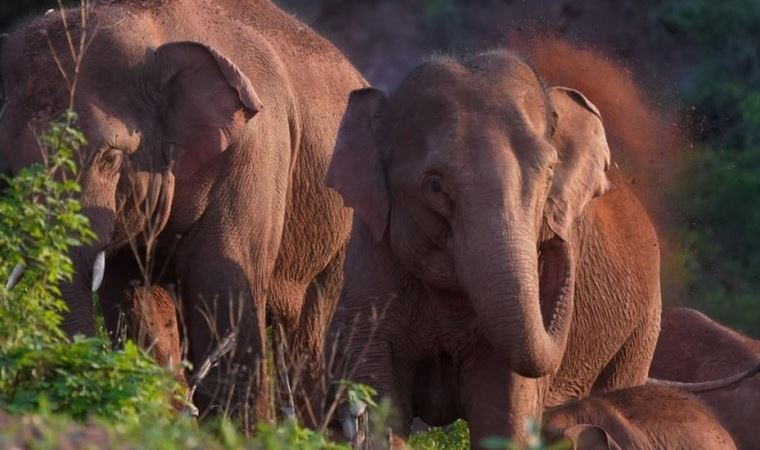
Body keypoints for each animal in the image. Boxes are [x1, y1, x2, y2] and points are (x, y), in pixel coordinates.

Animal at [0, 0, 366, 426]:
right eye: (10, 166)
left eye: (110, 157)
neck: (151, 29)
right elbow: (134, 299)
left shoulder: (252, 155)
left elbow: (223, 290)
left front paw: (241, 431)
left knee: (314, 335)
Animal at [326, 50, 664, 446]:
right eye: (434, 185)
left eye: (549, 173)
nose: (558, 234)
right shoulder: (371, 263)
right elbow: (380, 401)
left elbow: (504, 411)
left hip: (641, 329)